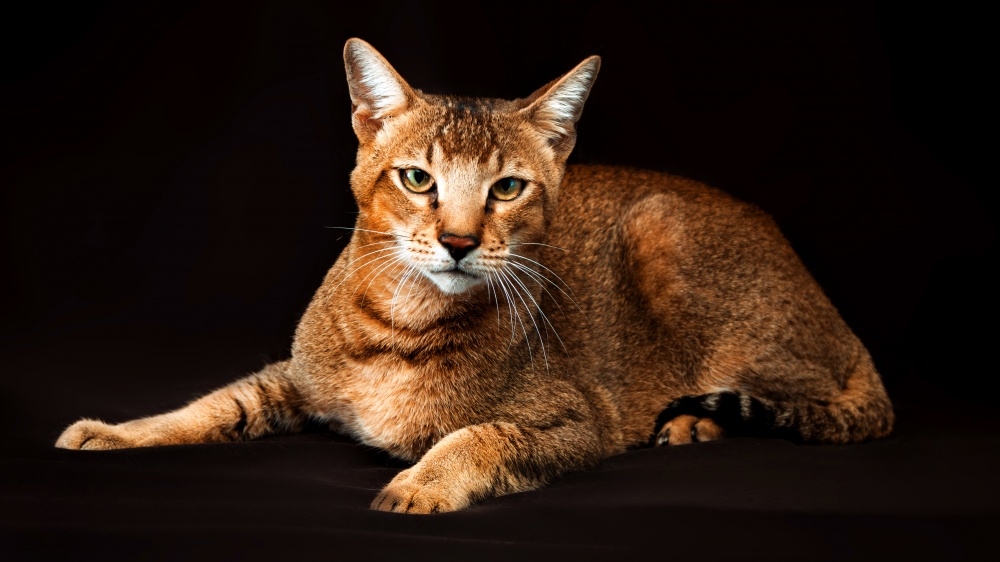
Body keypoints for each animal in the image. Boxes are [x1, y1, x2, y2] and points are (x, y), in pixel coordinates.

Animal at [58, 36, 896, 512]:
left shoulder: (577, 421)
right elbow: (210, 404)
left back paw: (695, 419)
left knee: (796, 394)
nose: (458, 241)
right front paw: (117, 432)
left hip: (669, 240)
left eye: (508, 188)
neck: (402, 324)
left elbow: (478, 435)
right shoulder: (294, 379)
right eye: (417, 179)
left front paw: (422, 483)